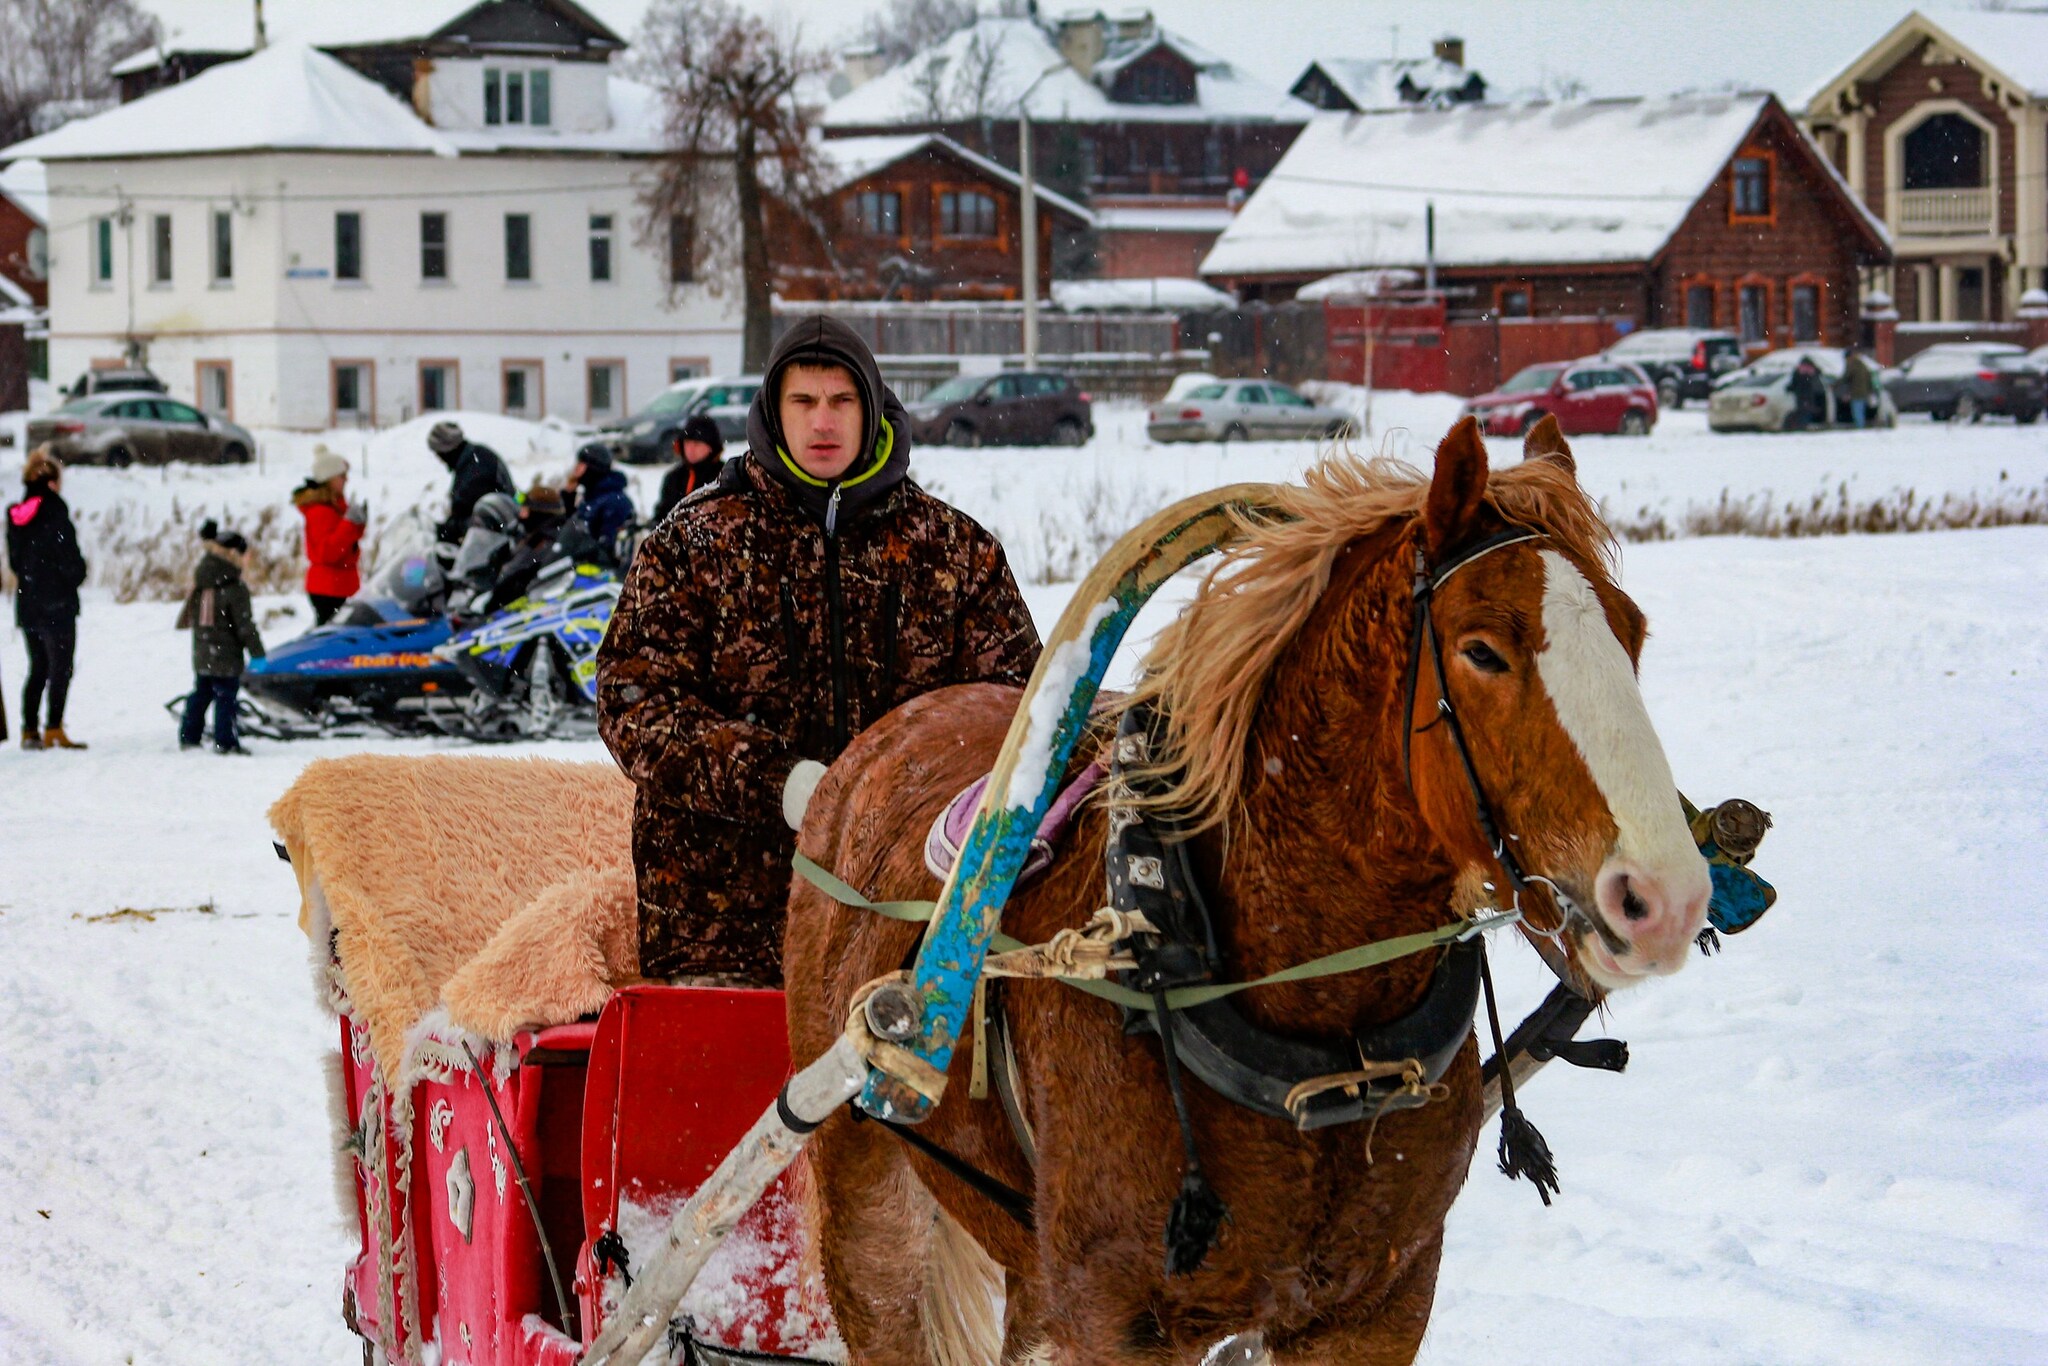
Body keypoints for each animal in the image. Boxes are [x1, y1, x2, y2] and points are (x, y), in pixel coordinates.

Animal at [782, 417, 1712, 1366]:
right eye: (1482, 650)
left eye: (1633, 634)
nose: (1665, 899)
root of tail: (873, 744)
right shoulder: (1118, 1322)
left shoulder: (1376, 1309)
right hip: (871, 1195)